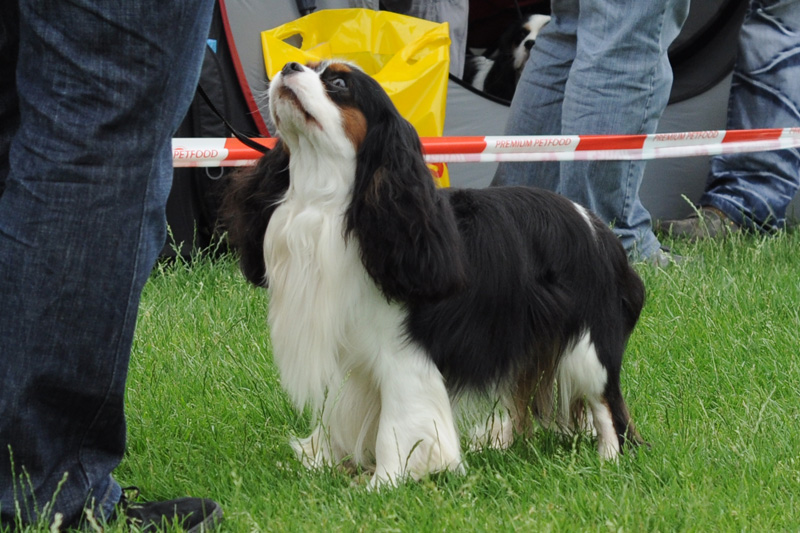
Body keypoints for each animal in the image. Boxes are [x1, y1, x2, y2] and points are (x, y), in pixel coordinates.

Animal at [220, 60, 645, 489]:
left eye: (338, 82)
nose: (288, 66)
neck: (323, 203)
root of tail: (602, 232)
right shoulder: (347, 358)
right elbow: (336, 414)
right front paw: (324, 461)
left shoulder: (403, 357)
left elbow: (398, 426)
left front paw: (384, 482)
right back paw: (500, 440)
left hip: (587, 351)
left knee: (608, 407)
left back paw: (609, 459)